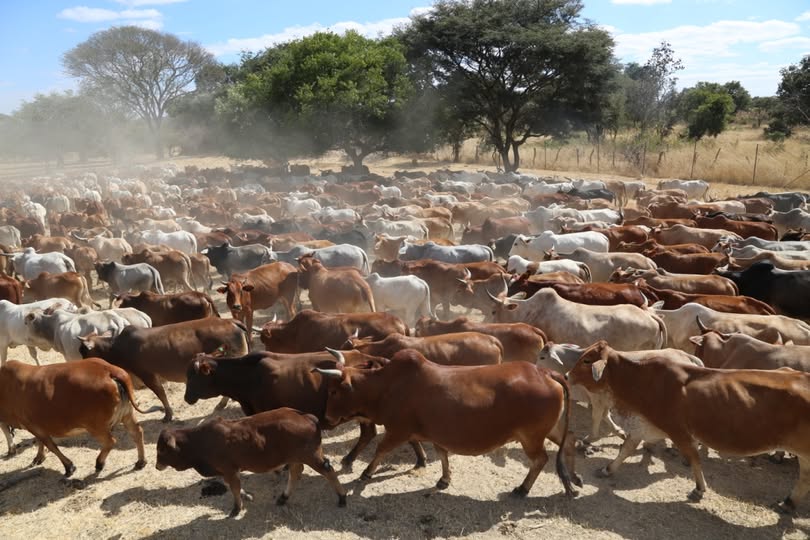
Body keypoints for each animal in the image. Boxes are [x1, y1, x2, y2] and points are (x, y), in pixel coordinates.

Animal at [0, 358, 146, 476]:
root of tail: (108, 370)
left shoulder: (34, 427)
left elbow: (52, 446)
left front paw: (68, 466)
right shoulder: (36, 426)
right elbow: (41, 443)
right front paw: (39, 457)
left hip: (95, 427)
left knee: (110, 442)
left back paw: (99, 463)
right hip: (127, 414)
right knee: (137, 433)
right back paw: (141, 461)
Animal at [77, 318, 249, 421]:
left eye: (83, 350)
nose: (83, 363)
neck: (117, 347)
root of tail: (231, 321)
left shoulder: (147, 375)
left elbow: (160, 393)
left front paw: (167, 415)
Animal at [156, 408, 346, 516]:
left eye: (162, 450)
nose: (157, 466)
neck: (199, 442)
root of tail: (306, 417)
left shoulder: (229, 470)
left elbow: (234, 488)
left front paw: (236, 508)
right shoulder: (229, 471)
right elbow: (234, 486)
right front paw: (246, 496)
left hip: (312, 456)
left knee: (328, 471)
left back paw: (342, 498)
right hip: (295, 457)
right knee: (296, 472)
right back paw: (283, 498)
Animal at [317, 349, 579, 497]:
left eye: (333, 391)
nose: (326, 418)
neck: (386, 386)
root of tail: (545, 372)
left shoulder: (397, 430)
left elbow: (380, 450)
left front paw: (365, 473)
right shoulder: (431, 433)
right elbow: (441, 454)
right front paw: (444, 479)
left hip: (531, 437)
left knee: (540, 460)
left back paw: (523, 489)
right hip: (549, 430)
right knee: (569, 441)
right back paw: (572, 480)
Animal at [567, 340, 810, 512]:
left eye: (587, 361)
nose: (567, 375)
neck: (640, 379)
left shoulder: (678, 431)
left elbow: (694, 458)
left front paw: (699, 489)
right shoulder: (643, 425)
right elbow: (626, 449)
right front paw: (607, 469)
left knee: (804, 477)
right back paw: (789, 502)